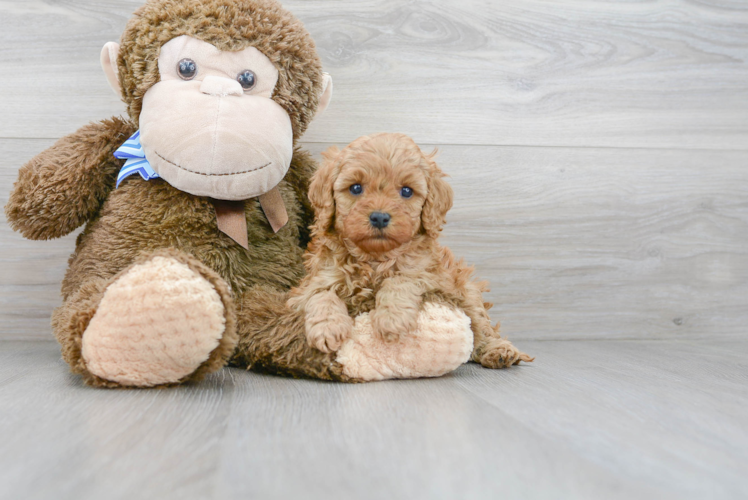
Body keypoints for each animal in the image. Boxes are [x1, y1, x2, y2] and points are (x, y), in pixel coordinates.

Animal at [290, 131, 536, 370]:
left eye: (407, 191)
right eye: (356, 188)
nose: (379, 217)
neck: (375, 258)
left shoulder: (431, 276)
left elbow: (400, 279)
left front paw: (391, 319)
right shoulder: (313, 281)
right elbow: (322, 295)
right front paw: (327, 329)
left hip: (466, 291)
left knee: (482, 325)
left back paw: (498, 350)